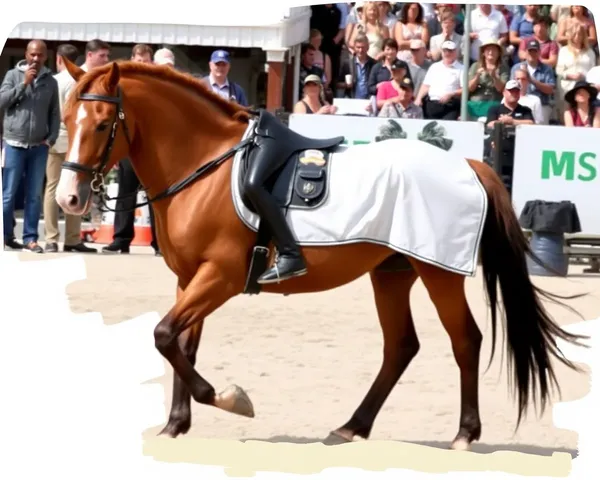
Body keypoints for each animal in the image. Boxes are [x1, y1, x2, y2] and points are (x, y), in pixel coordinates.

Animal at [54, 58, 588, 452]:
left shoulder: (219, 277)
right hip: (392, 273)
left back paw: (463, 434)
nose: (69, 200)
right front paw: (175, 425)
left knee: (465, 341)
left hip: (438, 272)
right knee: (401, 346)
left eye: (101, 124)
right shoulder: (190, 279)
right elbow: (180, 344)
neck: (204, 166)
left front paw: (229, 399)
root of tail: (469, 164)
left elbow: (165, 335)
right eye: (64, 119)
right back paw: (352, 427)